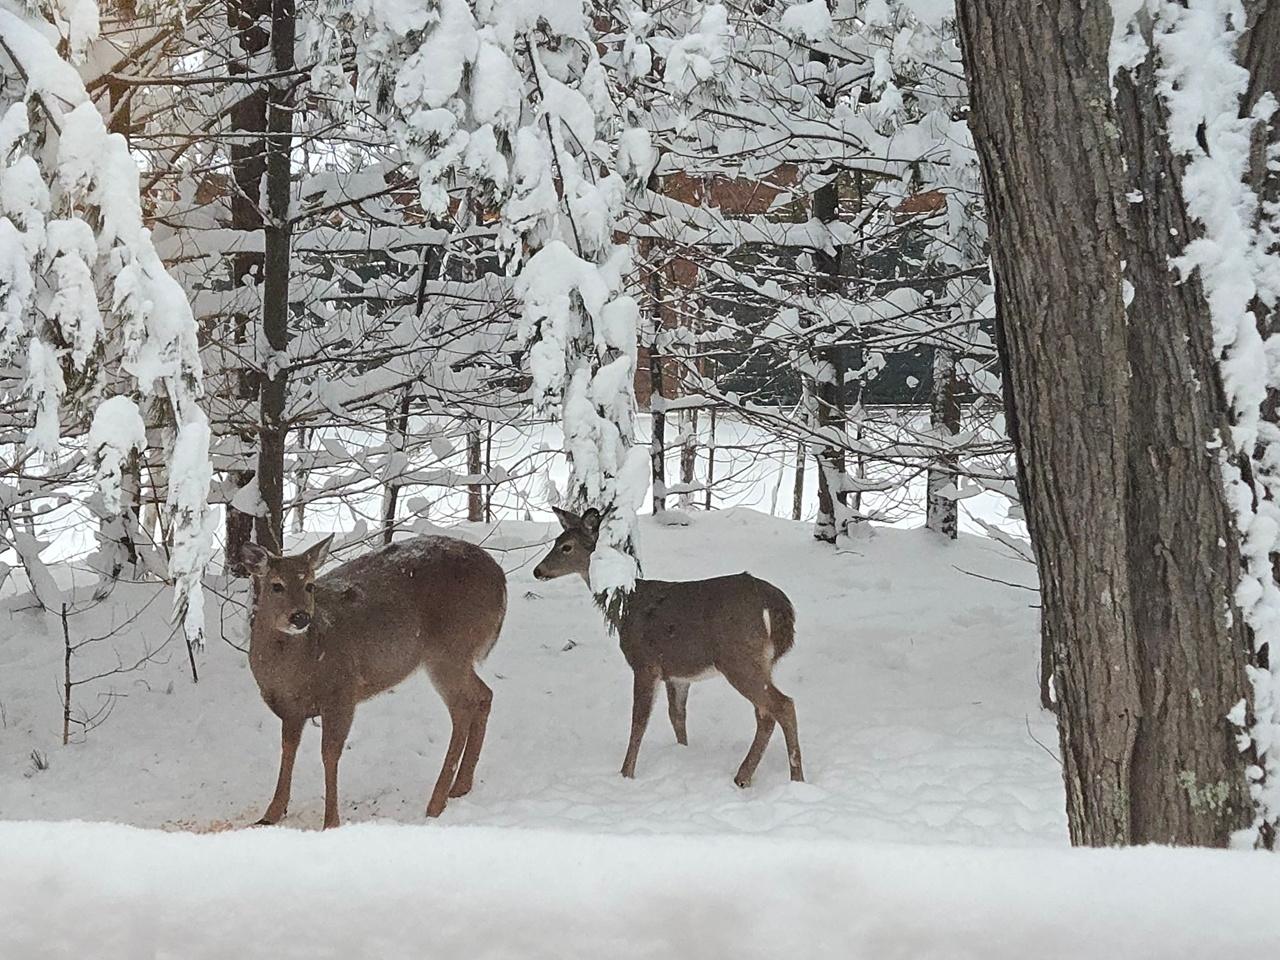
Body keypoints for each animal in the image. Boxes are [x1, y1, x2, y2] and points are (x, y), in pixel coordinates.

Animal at [241, 533, 507, 829]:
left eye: (309, 585)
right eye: (276, 585)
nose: (300, 617)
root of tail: (500, 581)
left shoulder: (342, 692)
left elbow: (329, 753)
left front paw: (331, 821)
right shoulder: (291, 710)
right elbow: (288, 749)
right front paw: (270, 814)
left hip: (450, 648)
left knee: (464, 706)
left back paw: (436, 803)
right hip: (456, 655)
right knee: (484, 695)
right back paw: (460, 786)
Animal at [533, 507, 803, 787]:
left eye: (566, 547)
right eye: (555, 542)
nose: (537, 571)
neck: (624, 607)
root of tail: (776, 603)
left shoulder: (644, 663)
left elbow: (639, 720)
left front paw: (626, 773)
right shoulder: (677, 674)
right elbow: (677, 716)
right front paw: (682, 752)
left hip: (738, 657)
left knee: (783, 705)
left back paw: (795, 778)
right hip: (760, 662)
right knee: (765, 714)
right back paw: (744, 777)